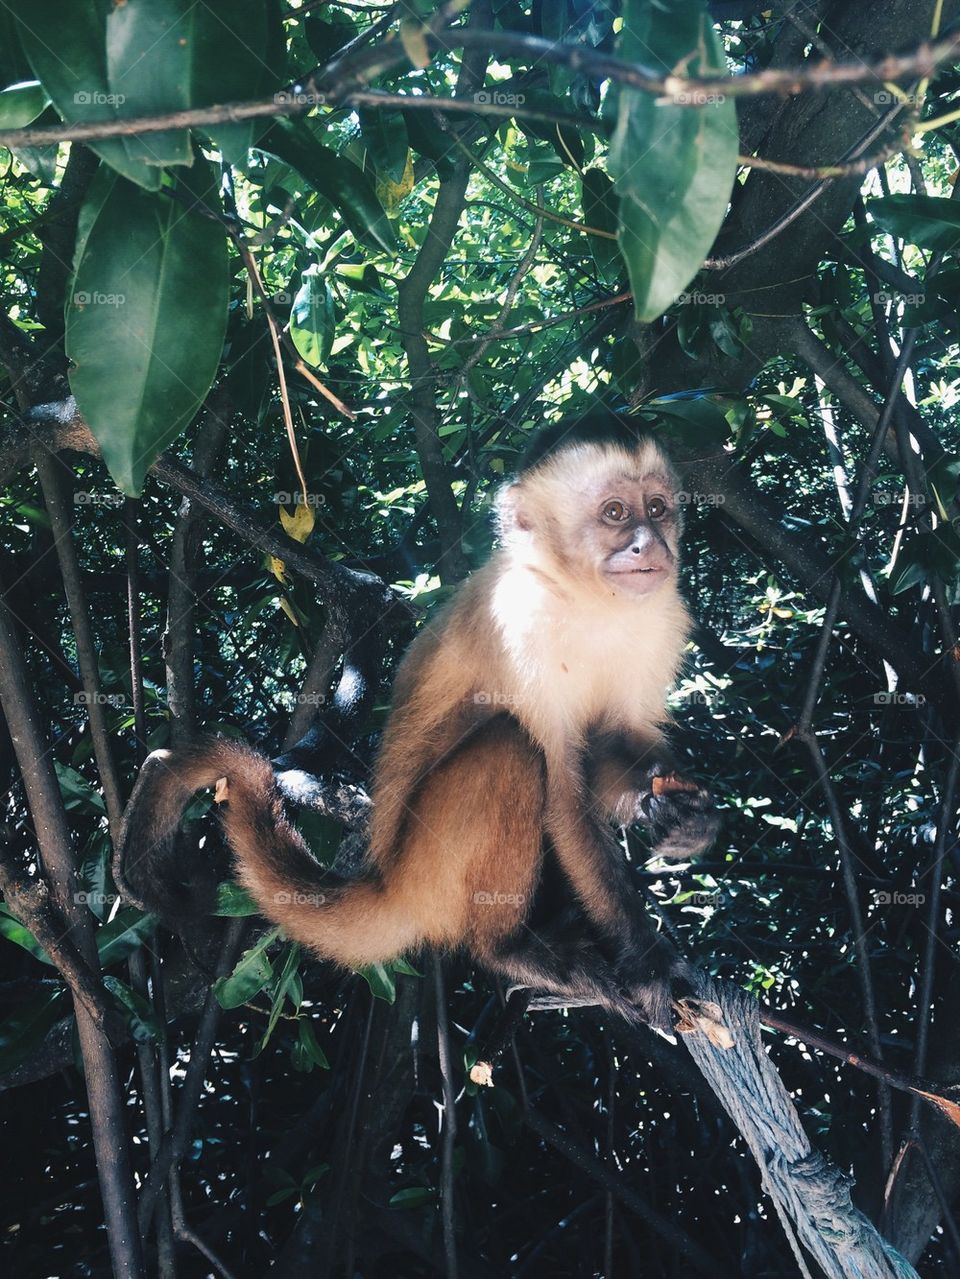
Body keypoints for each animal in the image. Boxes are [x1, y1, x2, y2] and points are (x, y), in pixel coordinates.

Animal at [118, 409, 719, 1030]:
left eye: (657, 507)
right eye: (616, 514)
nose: (650, 544)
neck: (583, 598)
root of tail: (387, 885)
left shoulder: (661, 616)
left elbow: (619, 738)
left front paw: (683, 816)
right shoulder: (522, 625)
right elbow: (564, 792)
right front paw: (651, 967)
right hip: (431, 869)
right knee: (511, 746)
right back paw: (508, 948)